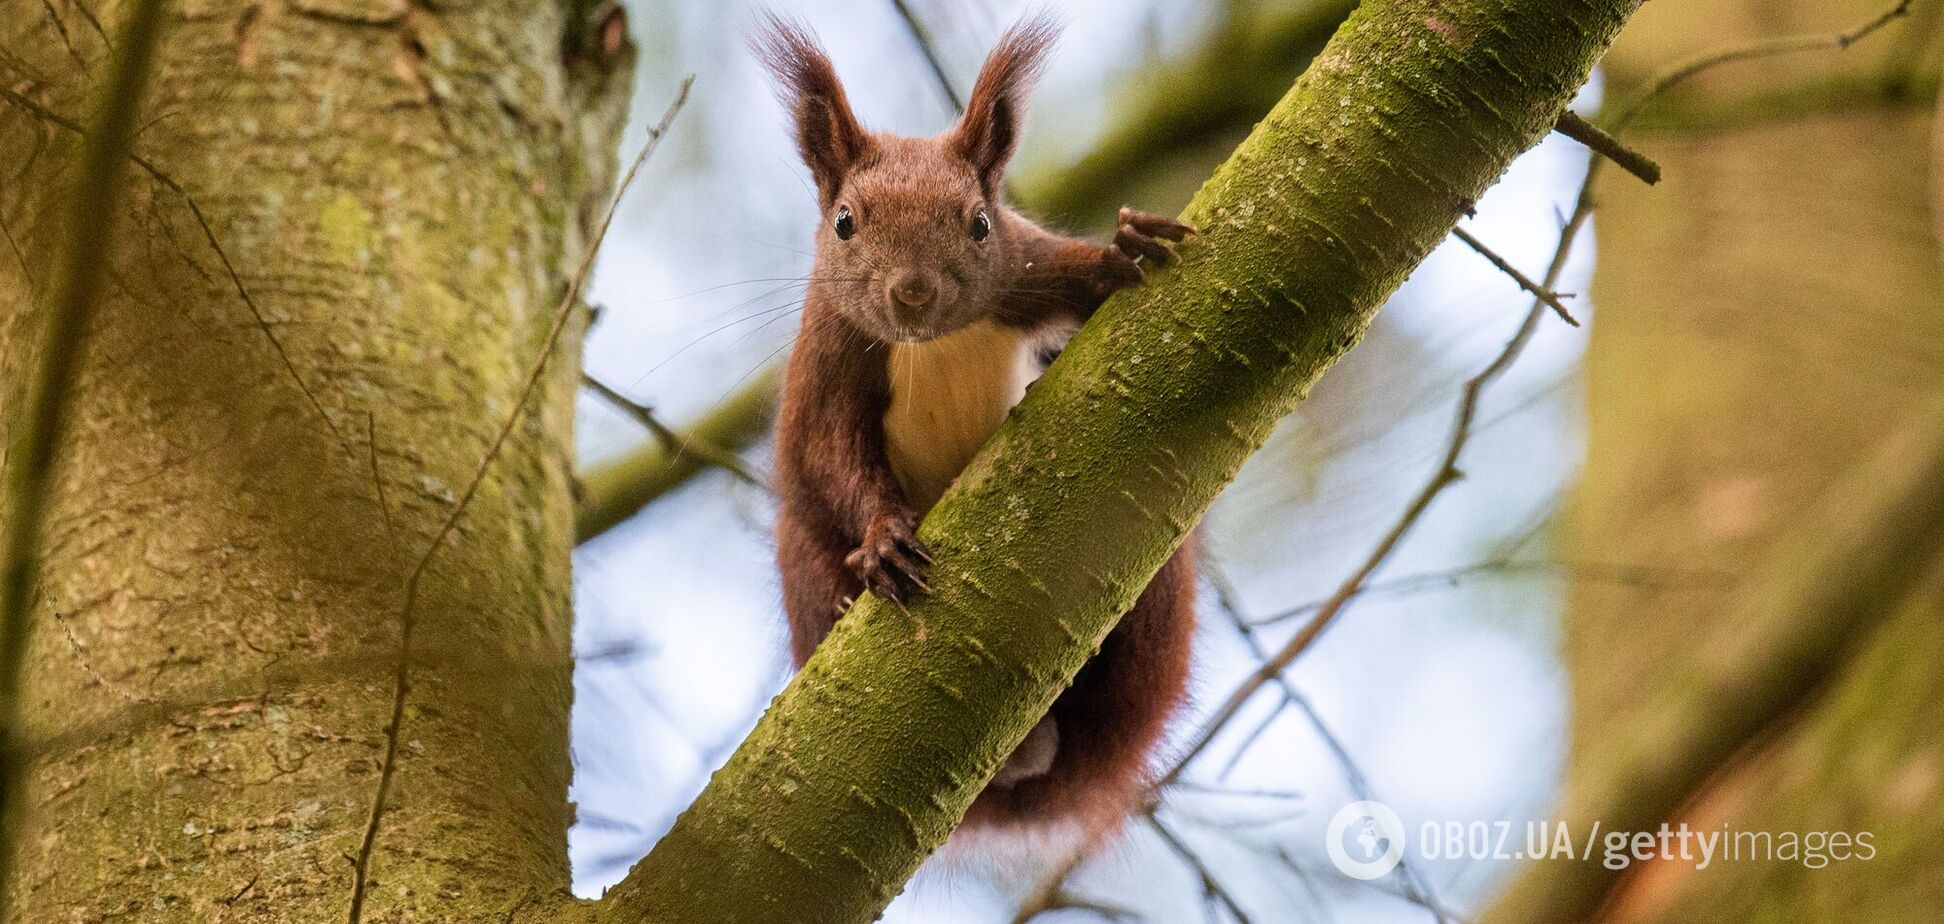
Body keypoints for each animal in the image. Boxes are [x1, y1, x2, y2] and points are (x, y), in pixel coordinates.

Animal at [758, 14, 1197, 828]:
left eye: (982, 223)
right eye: (843, 223)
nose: (912, 292)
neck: (932, 344)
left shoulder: (1029, 270)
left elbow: (1086, 279)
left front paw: (1126, 247)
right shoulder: (831, 363)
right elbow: (832, 456)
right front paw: (882, 541)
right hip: (798, 556)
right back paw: (846, 593)